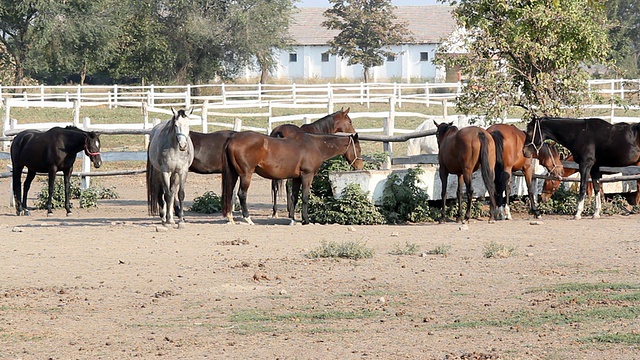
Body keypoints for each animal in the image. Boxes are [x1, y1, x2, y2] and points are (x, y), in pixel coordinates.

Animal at [221, 129, 362, 225]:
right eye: (359, 149)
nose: (360, 167)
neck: (315, 145)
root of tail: (233, 139)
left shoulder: (296, 178)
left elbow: (294, 197)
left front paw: (293, 220)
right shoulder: (307, 176)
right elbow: (304, 197)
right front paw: (305, 220)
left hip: (234, 174)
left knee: (230, 193)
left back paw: (230, 218)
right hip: (246, 175)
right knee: (242, 194)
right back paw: (248, 219)